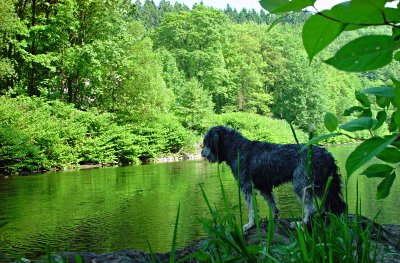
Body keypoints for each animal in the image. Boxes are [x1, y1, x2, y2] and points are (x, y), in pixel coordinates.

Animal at [202, 126, 346, 231]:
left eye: (206, 142)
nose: (202, 153)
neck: (237, 150)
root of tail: (327, 155)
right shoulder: (264, 188)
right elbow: (272, 205)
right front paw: (273, 219)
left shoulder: (246, 187)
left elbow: (251, 208)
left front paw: (250, 224)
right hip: (323, 185)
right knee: (333, 204)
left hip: (301, 185)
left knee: (310, 208)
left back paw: (301, 224)